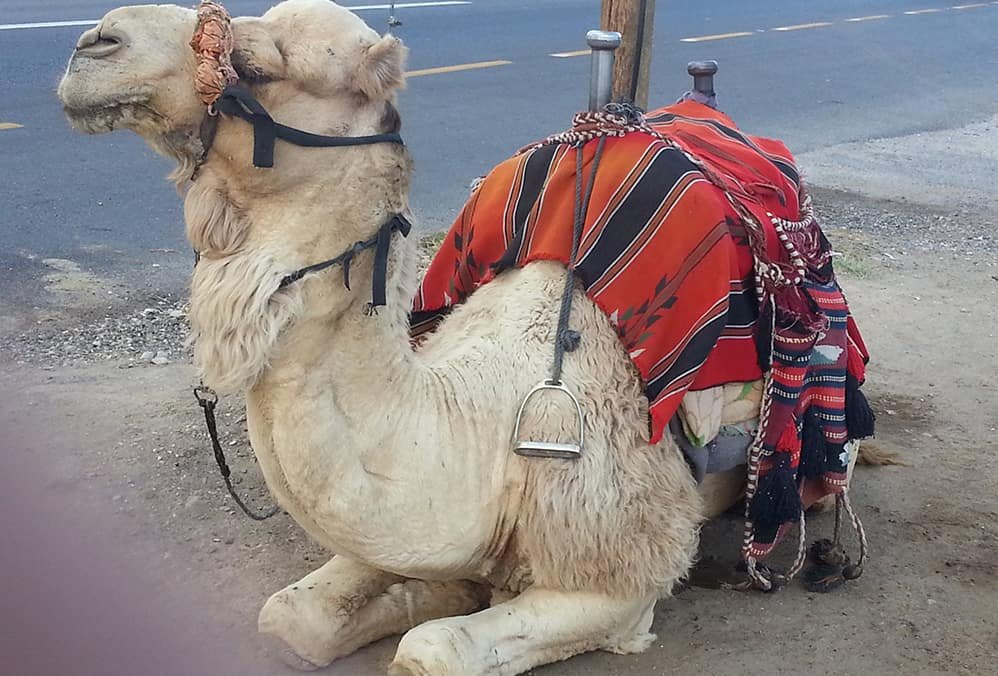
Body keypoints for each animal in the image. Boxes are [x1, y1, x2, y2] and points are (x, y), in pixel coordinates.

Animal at [58, 1, 864, 673]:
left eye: (258, 65)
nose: (94, 41)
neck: (480, 429)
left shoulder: (623, 567)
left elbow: (433, 650)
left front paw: (447, 605)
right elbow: (294, 616)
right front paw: (439, 590)